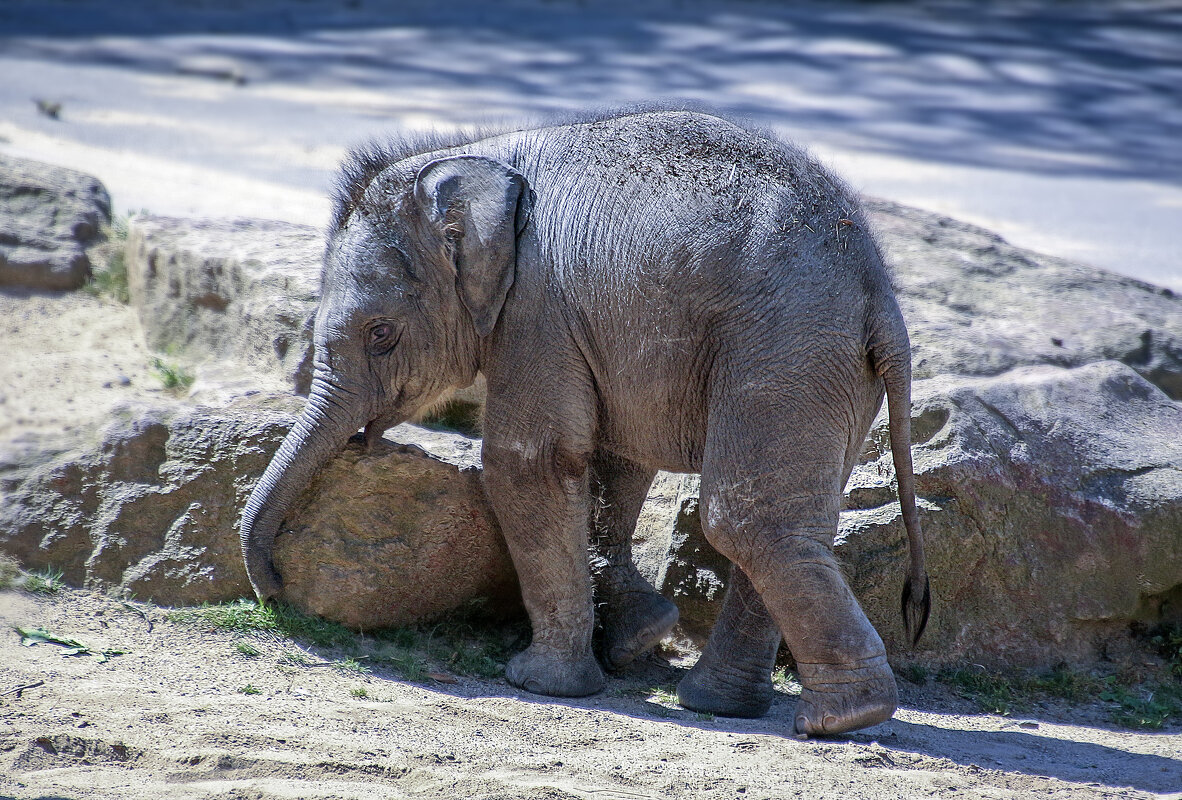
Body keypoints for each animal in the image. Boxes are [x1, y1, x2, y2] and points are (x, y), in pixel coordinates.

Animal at [239, 109, 926, 732]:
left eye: (381, 335)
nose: (275, 589)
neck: (478, 153)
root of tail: (881, 295)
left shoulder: (536, 310)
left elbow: (530, 464)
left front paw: (540, 684)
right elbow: (616, 457)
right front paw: (638, 635)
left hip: (786, 350)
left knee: (746, 519)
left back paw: (845, 716)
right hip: (832, 372)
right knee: (794, 520)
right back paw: (725, 704)